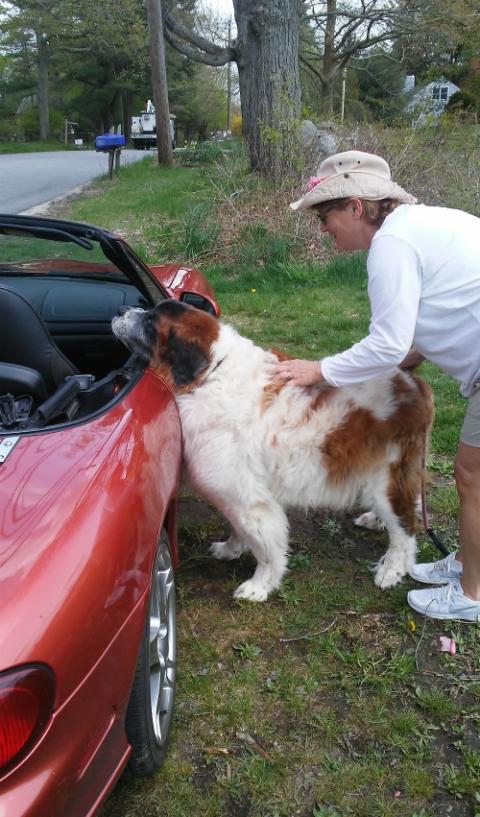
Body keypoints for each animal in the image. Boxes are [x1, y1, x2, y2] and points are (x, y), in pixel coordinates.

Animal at [113, 300, 436, 600]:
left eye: (151, 321)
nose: (120, 309)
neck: (210, 373)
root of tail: (405, 377)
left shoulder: (248, 500)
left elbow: (266, 549)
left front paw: (260, 586)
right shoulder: (237, 497)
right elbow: (239, 529)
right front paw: (231, 549)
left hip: (387, 476)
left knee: (405, 528)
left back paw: (392, 569)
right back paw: (375, 520)